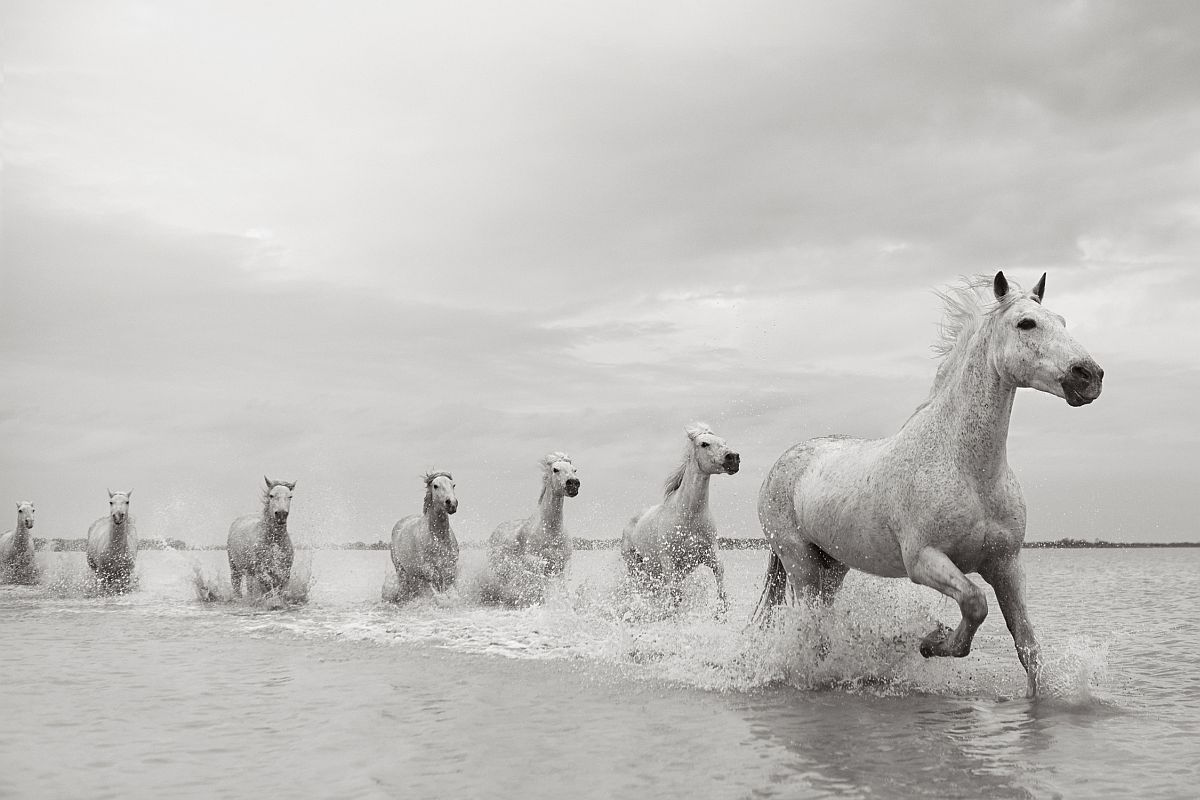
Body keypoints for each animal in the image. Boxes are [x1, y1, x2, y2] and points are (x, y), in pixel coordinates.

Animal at [388, 472, 458, 604]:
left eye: (453, 485)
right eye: (435, 486)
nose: (451, 503)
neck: (439, 538)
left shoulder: (449, 568)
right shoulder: (429, 570)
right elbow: (437, 593)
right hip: (401, 570)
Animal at [487, 453, 580, 604]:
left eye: (574, 469)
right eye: (555, 469)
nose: (573, 484)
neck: (551, 531)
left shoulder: (562, 565)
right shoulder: (532, 560)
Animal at [619, 424, 739, 614]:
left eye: (724, 441)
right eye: (704, 444)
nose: (733, 458)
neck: (689, 515)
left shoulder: (707, 554)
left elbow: (720, 575)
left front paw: (721, 610)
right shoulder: (669, 562)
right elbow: (676, 596)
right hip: (636, 568)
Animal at [758, 272, 1104, 695]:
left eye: (1062, 320)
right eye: (1026, 323)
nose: (1089, 376)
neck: (970, 471)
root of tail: (782, 463)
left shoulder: (1006, 564)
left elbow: (1027, 645)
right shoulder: (924, 560)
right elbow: (975, 603)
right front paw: (931, 641)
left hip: (833, 567)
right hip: (800, 563)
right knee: (812, 630)